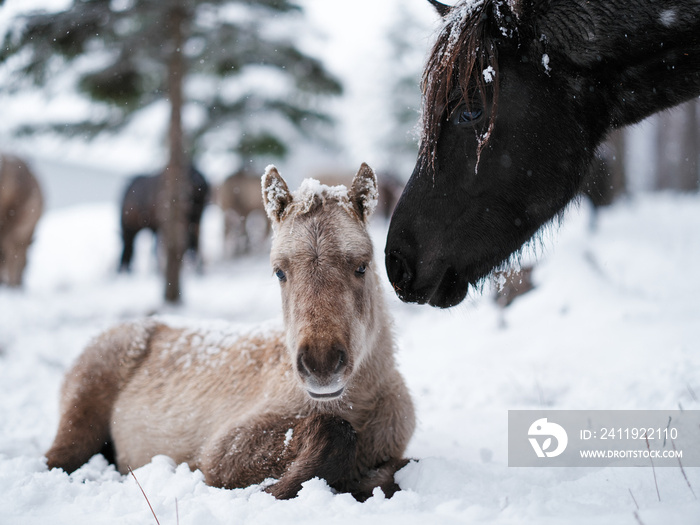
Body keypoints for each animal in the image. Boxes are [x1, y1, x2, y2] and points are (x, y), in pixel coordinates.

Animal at [45, 163, 416, 500]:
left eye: (362, 266)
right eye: (279, 272)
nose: (321, 364)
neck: (359, 406)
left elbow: (395, 471)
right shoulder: (223, 451)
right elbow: (334, 435)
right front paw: (273, 490)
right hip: (80, 419)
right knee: (57, 459)